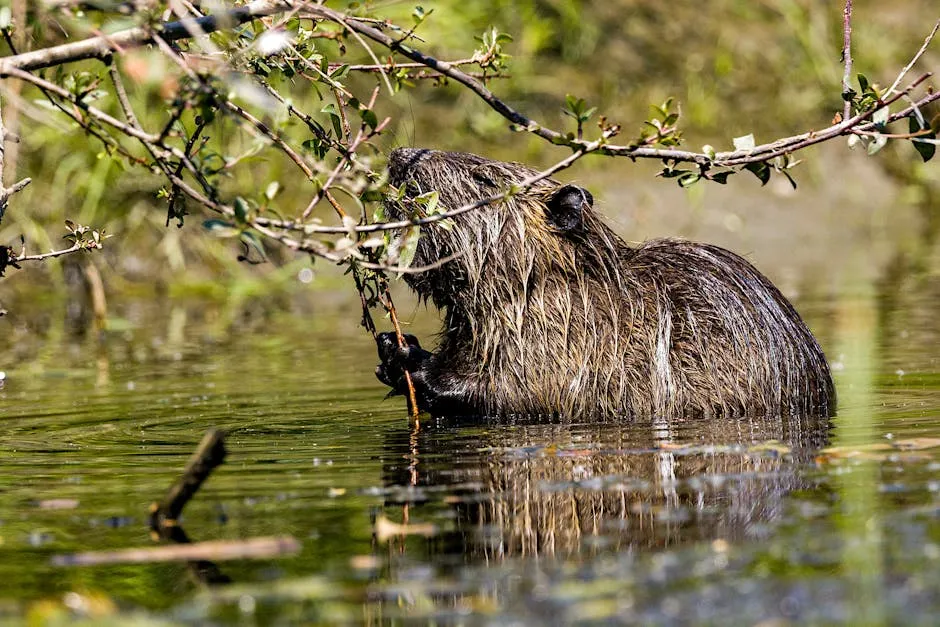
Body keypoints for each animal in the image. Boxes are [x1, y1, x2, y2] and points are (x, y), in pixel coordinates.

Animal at [370, 150, 832, 420]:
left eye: (483, 179)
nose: (401, 155)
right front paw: (393, 348)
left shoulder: (567, 342)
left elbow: (519, 394)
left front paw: (412, 362)